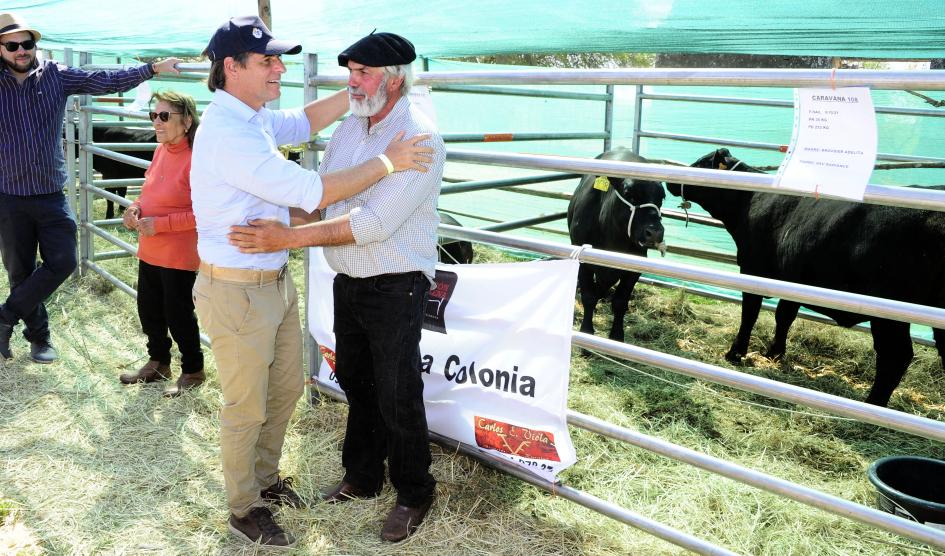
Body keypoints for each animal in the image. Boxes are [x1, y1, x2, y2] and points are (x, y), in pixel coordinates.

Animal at [568, 146, 664, 340]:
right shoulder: (583, 259)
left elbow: (620, 301)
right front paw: (587, 331)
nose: (655, 232)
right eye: (629, 194)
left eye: (662, 198)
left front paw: (617, 335)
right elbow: (589, 296)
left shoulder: (635, 267)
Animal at [664, 148, 944, 406]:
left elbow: (750, 314)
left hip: (888, 312)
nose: (670, 181)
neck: (749, 200)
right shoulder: (794, 279)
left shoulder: (753, 270)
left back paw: (873, 405)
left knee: (896, 355)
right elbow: (784, 315)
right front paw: (775, 352)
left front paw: (736, 352)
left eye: (700, 163)